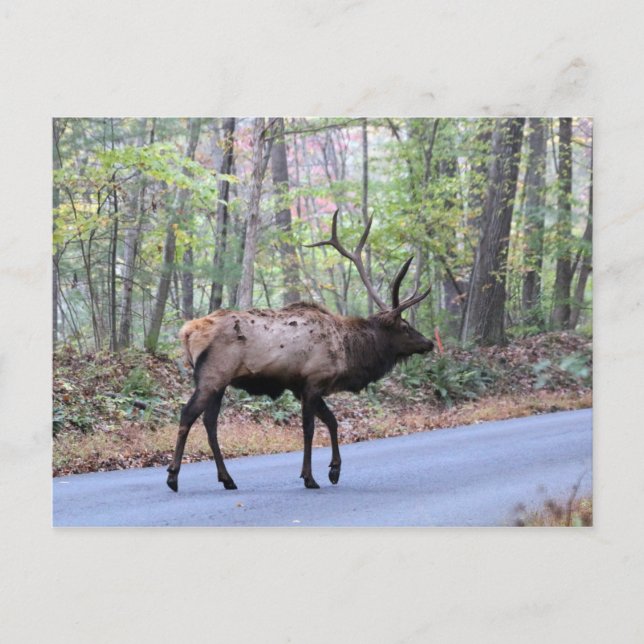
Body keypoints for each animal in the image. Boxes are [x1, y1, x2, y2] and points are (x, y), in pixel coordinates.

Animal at [167, 209, 434, 492]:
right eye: (405, 327)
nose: (429, 342)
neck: (348, 352)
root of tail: (187, 331)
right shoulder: (314, 380)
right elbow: (309, 429)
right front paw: (310, 477)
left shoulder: (300, 387)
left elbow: (332, 421)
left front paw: (334, 471)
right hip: (212, 376)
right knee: (188, 414)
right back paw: (173, 476)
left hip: (219, 382)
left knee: (210, 422)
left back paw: (227, 478)